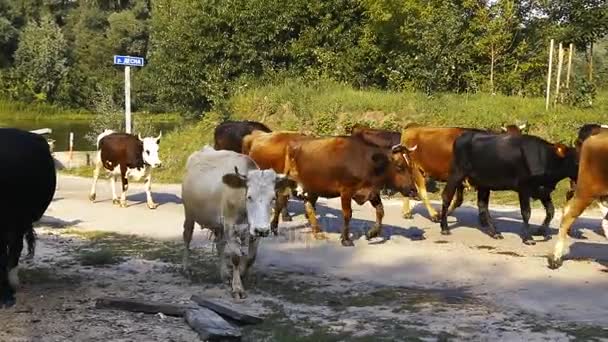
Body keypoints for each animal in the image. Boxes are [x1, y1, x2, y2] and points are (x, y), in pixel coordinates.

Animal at [180, 146, 294, 298]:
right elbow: (235, 257)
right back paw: (186, 267)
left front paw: (241, 274)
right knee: (187, 237)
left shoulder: (254, 230)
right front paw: (237, 287)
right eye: (249, 197)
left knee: (219, 245)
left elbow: (251, 257)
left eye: (273, 198)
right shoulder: (231, 227)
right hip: (189, 213)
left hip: (219, 225)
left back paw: (224, 274)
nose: (262, 230)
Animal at [282, 136, 416, 246]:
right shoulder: (346, 191)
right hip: (289, 181)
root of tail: (295, 142)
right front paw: (346, 239)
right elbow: (347, 214)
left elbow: (380, 211)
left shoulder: (371, 192)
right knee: (284, 198)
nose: (413, 190)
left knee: (309, 205)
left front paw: (372, 233)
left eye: (410, 166)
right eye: (399, 166)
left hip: (313, 187)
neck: (368, 163)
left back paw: (317, 231)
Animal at [440, 132, 576, 244]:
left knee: (483, 205)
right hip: (456, 173)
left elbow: (550, 211)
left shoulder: (543, 191)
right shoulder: (524, 188)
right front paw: (528, 238)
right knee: (446, 197)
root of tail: (463, 135)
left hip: (484, 182)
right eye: (576, 159)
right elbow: (526, 212)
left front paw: (541, 231)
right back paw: (444, 228)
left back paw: (495, 233)